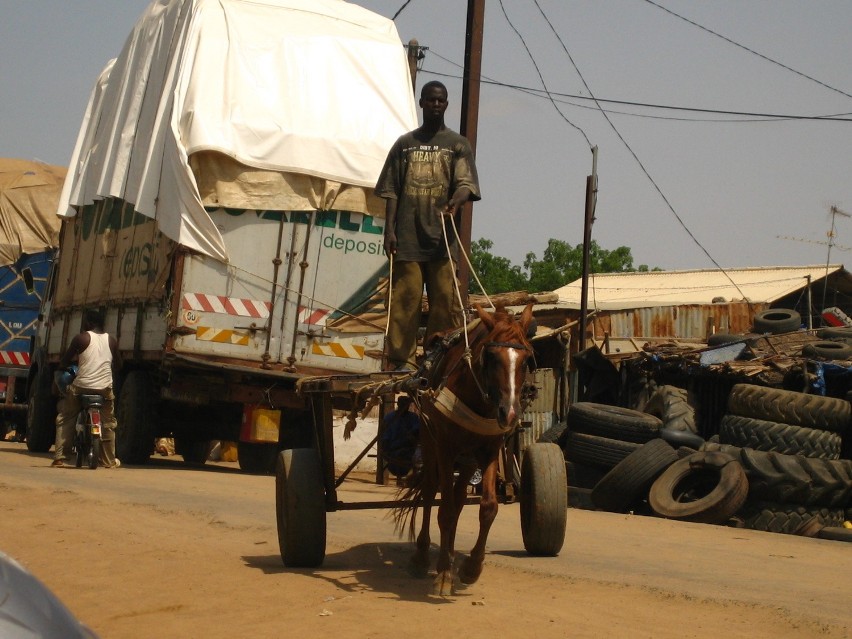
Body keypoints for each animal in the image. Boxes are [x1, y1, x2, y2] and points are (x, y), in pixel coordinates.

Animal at [398, 302, 532, 596]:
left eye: (527, 359)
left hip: (468, 459)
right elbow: (444, 510)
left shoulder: (490, 450)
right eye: (490, 356)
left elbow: (488, 507)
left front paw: (471, 567)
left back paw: (447, 555)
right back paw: (423, 557)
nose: (510, 413)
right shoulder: (446, 449)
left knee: (458, 499)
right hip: (430, 443)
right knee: (430, 492)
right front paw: (444, 573)